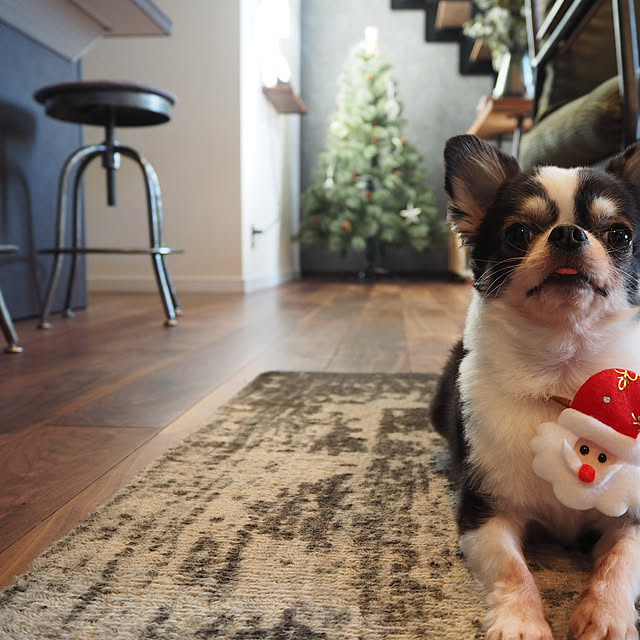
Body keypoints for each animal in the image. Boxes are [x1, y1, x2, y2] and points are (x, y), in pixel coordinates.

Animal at [432, 132, 640, 636]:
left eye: (620, 235)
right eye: (518, 234)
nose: (568, 233)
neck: (566, 376)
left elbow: (621, 561)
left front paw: (605, 614)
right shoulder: (485, 514)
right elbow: (514, 570)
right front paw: (520, 622)